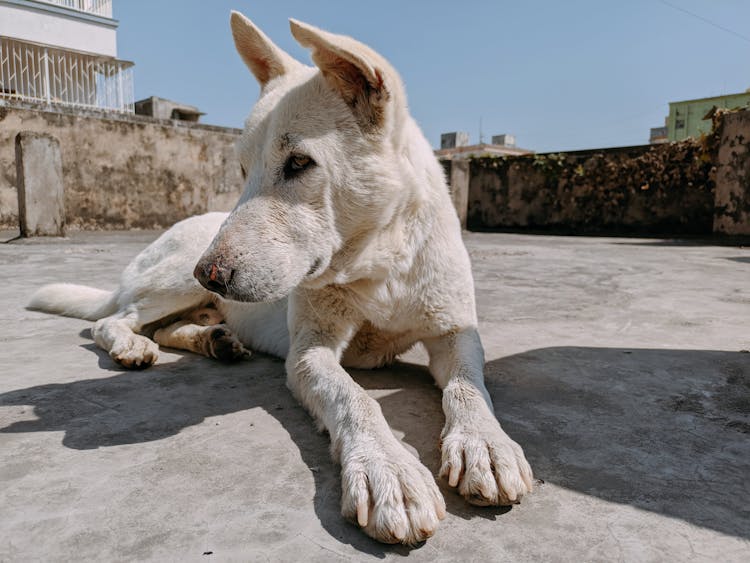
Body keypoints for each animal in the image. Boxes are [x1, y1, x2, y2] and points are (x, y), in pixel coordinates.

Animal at [30, 11, 536, 544]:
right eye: (243, 168)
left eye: (298, 163)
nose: (209, 275)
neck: (380, 266)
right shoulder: (309, 353)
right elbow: (355, 398)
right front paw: (388, 469)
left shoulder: (455, 331)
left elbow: (467, 386)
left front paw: (486, 444)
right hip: (172, 280)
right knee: (113, 321)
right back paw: (132, 344)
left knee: (167, 327)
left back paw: (214, 339)